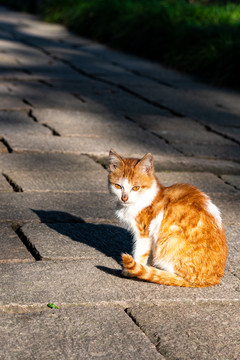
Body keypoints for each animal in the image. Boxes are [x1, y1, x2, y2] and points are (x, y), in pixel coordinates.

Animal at [108, 149, 228, 286]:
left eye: (136, 188)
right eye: (118, 186)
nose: (124, 197)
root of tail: (212, 279)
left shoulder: (144, 233)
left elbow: (140, 253)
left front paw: (133, 271)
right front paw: (145, 266)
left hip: (169, 238)